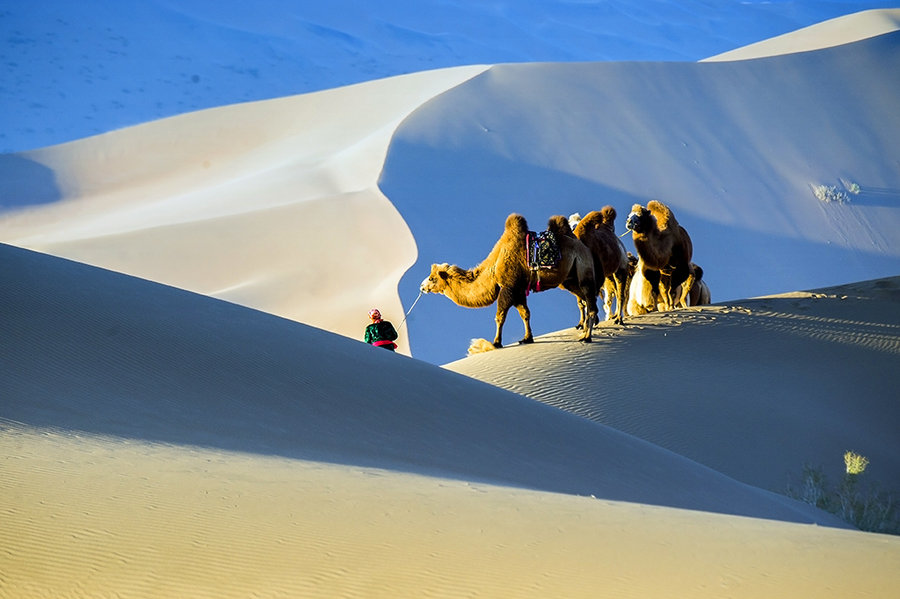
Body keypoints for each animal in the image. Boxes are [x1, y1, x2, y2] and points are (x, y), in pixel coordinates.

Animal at [420, 214, 600, 346]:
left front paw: (496, 342)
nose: (422, 286)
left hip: (583, 269)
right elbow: (525, 313)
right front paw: (527, 338)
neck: (494, 265)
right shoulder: (519, 289)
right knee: (586, 300)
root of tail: (584, 248)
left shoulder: (508, 287)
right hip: (569, 279)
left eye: (432, 278)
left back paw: (587, 336)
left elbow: (500, 316)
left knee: (590, 301)